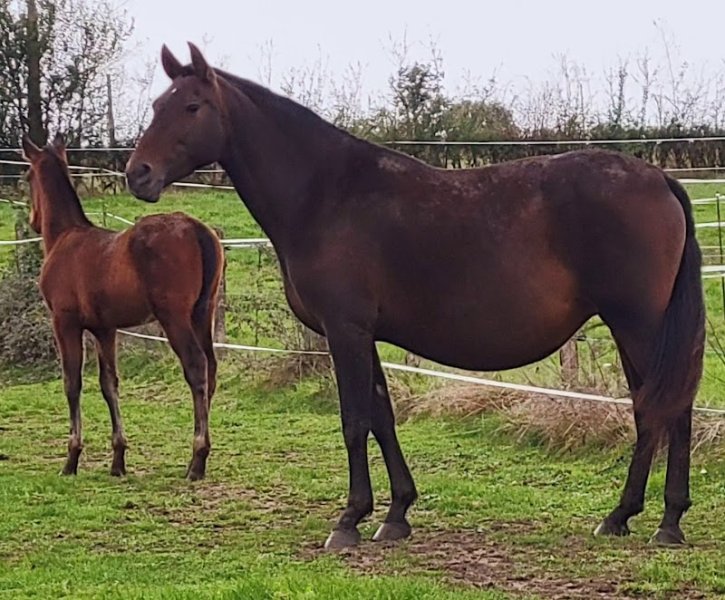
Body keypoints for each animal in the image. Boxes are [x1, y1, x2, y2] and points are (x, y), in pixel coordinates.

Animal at [22, 133, 224, 481]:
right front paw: (118, 459)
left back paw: (197, 458)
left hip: (174, 318)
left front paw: (72, 458)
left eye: (26, 177)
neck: (66, 238)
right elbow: (109, 385)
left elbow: (72, 383)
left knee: (196, 367)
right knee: (210, 368)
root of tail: (196, 229)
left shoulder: (64, 323)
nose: (34, 221)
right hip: (203, 313)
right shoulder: (105, 329)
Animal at [125, 43, 705, 549]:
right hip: (634, 329)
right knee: (653, 407)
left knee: (666, 409)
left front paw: (349, 520)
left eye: (191, 106)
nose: (138, 174)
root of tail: (660, 180)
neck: (325, 194)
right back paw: (636, 516)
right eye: (156, 106)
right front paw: (396, 513)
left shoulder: (345, 330)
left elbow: (355, 420)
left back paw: (656, 521)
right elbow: (382, 417)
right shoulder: (364, 335)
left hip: (639, 325)